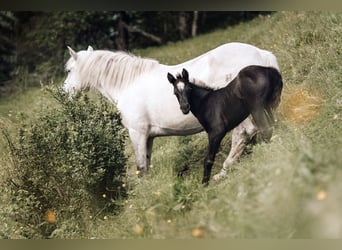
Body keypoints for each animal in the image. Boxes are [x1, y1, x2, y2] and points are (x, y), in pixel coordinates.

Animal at [63, 42, 278, 181]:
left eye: (68, 70)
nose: (64, 93)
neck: (128, 84)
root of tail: (260, 55)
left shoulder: (137, 133)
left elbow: (141, 168)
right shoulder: (148, 137)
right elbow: (146, 165)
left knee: (244, 133)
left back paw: (223, 172)